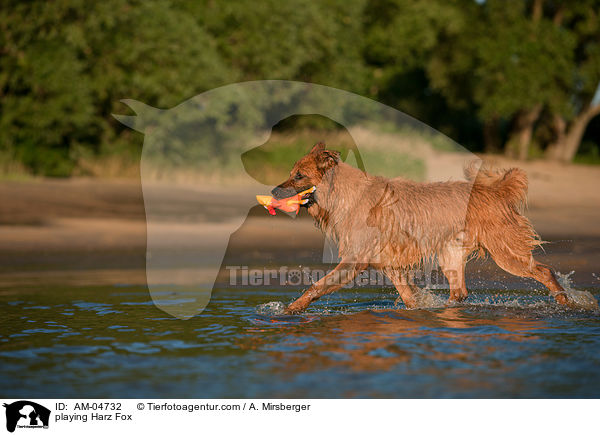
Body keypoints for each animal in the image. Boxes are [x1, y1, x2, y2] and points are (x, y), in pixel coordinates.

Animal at [274, 142, 572, 314]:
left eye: (299, 176)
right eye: (290, 173)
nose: (274, 190)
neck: (343, 194)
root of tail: (496, 191)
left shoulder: (353, 261)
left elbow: (315, 287)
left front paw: (290, 309)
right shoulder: (390, 265)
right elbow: (409, 297)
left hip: (505, 252)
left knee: (544, 271)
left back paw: (566, 303)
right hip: (450, 254)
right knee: (459, 292)